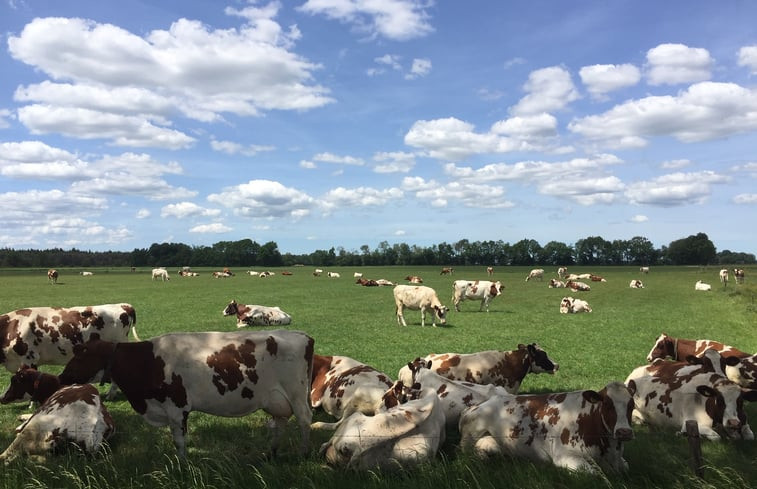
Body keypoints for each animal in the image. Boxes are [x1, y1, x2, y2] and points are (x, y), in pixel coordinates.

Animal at [57, 330, 314, 456]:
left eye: (80, 355)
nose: (61, 377)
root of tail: (302, 335)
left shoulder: (176, 408)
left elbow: (179, 442)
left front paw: (182, 466)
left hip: (297, 394)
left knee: (304, 421)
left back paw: (304, 454)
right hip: (276, 399)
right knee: (281, 422)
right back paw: (271, 452)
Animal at [458, 382, 636, 472]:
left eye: (632, 405)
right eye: (606, 404)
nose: (624, 432)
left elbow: (626, 466)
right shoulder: (564, 456)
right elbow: (593, 472)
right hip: (472, 432)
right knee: (465, 452)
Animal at [624, 368, 752, 440]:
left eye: (740, 401)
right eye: (719, 400)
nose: (733, 423)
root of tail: (630, 382)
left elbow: (750, 436)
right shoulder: (690, 423)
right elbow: (716, 437)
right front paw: (683, 434)